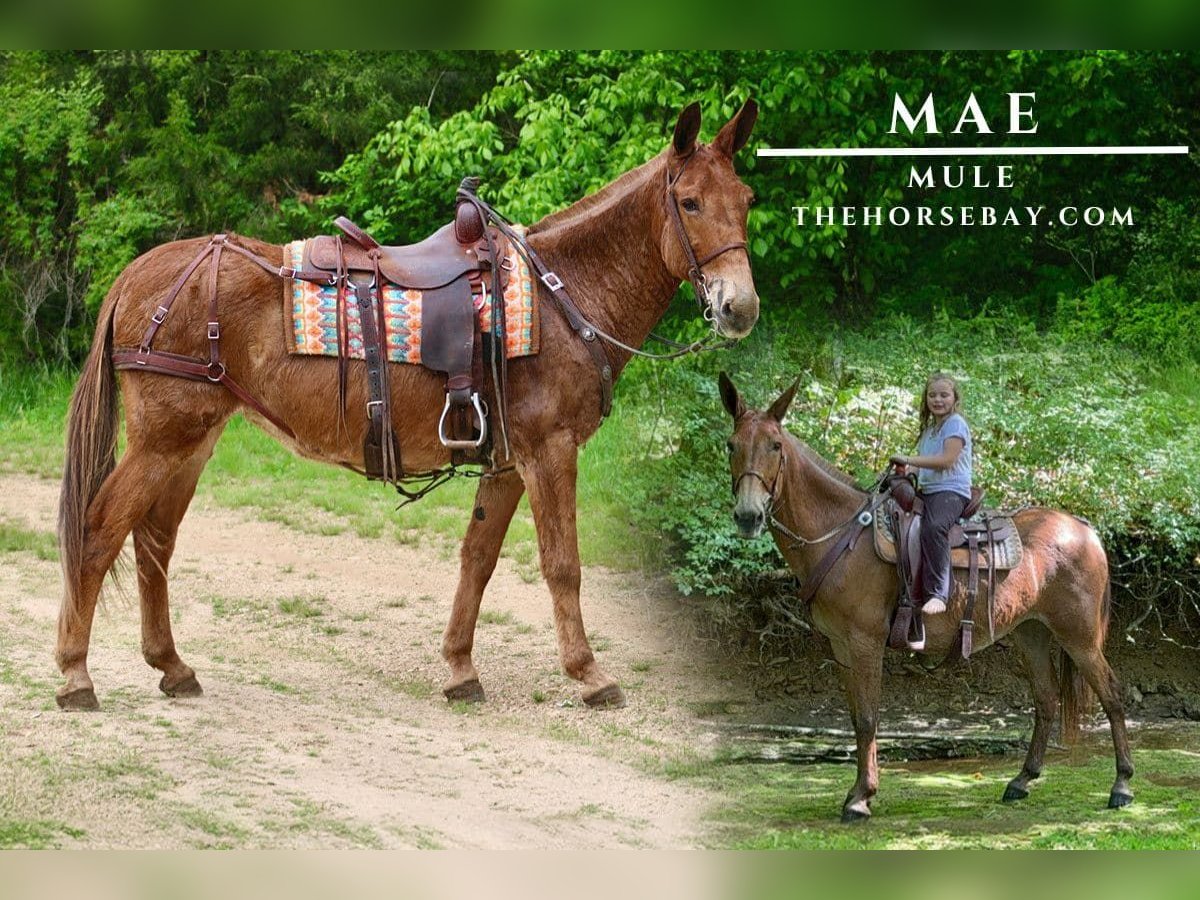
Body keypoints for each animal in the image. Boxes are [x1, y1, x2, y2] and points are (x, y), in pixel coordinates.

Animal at [53, 100, 761, 713]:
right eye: (690, 202)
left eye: (747, 201)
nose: (740, 307)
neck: (564, 294)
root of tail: (135, 273)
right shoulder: (550, 450)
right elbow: (562, 565)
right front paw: (589, 674)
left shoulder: (507, 461)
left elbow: (478, 559)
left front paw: (459, 668)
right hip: (163, 440)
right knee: (99, 531)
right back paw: (75, 675)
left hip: (192, 444)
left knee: (153, 540)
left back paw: (172, 666)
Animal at [717, 372, 1133, 822]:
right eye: (732, 444)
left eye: (775, 445)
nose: (748, 516)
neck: (841, 533)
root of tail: (1084, 527)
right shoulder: (841, 646)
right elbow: (855, 717)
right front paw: (858, 792)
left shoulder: (865, 642)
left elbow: (868, 718)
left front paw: (861, 798)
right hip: (1032, 633)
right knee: (1046, 699)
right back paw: (1022, 780)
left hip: (1079, 636)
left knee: (1111, 694)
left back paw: (1122, 785)